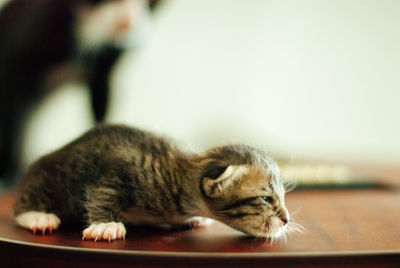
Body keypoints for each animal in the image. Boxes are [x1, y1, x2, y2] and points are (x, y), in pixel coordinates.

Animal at [14, 125, 292, 241]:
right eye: (266, 199)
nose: (286, 219)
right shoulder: (119, 168)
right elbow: (103, 192)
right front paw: (105, 224)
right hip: (48, 178)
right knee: (21, 207)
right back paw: (39, 217)